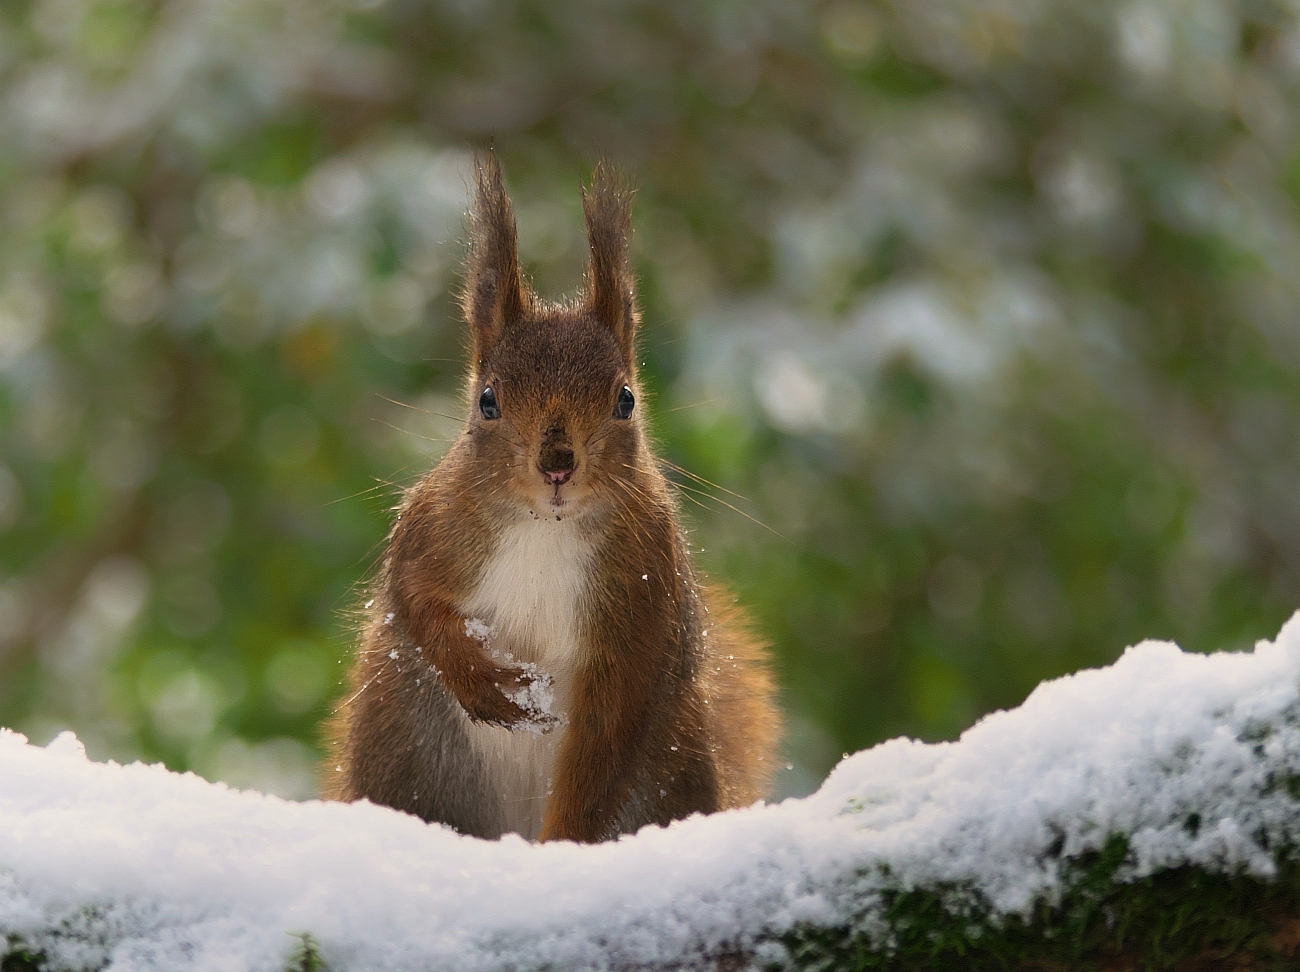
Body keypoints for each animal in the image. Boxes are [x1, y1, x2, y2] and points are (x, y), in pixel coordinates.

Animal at [325, 159, 780, 842]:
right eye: (487, 400)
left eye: (626, 399)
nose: (558, 464)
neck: (546, 528)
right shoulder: (430, 529)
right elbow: (416, 602)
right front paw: (490, 689)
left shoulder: (641, 604)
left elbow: (606, 737)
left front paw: (561, 841)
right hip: (404, 758)